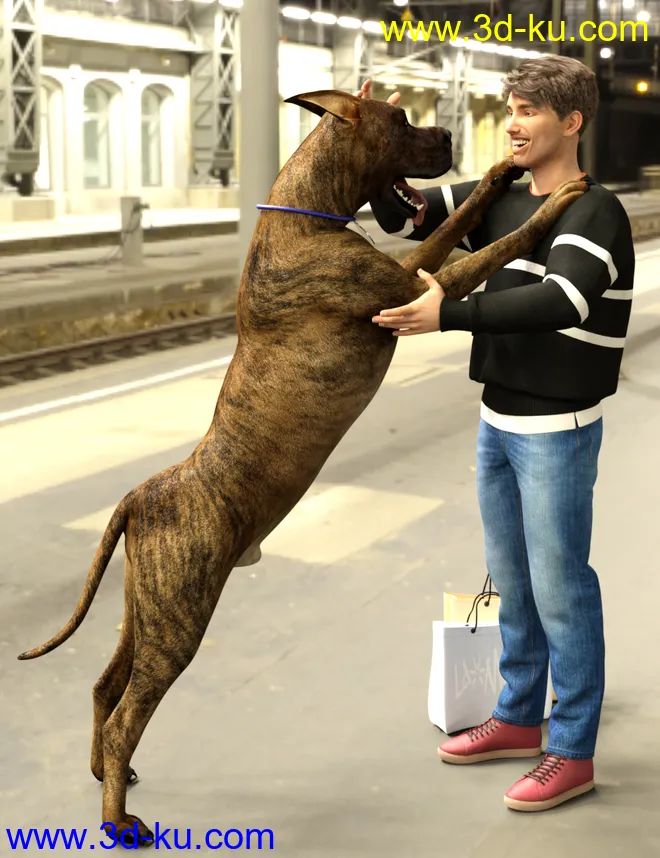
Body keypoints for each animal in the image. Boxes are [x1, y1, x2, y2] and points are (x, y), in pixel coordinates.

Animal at [18, 89, 586, 845]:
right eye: (401, 122)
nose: (447, 133)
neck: (306, 212)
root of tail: (141, 494)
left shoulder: (416, 269)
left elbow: (457, 221)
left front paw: (498, 176)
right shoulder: (414, 292)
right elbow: (494, 245)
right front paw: (558, 204)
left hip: (146, 607)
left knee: (106, 688)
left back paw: (105, 777)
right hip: (179, 622)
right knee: (125, 715)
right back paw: (117, 822)